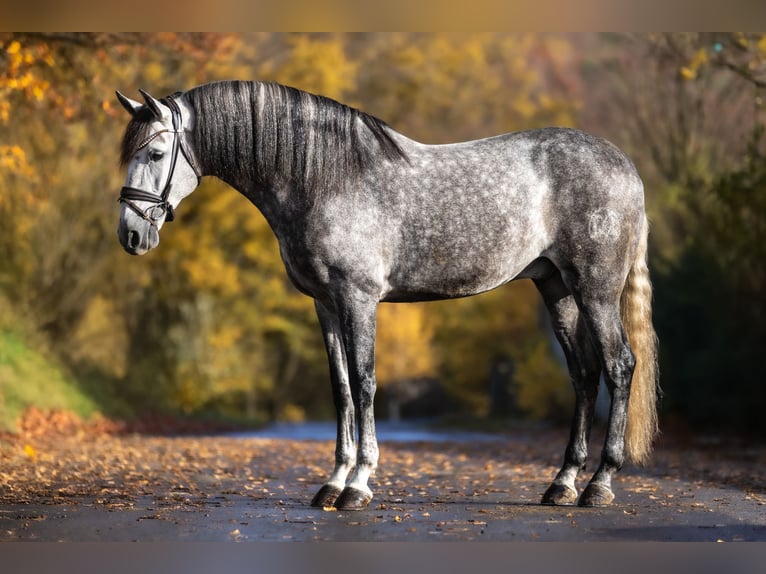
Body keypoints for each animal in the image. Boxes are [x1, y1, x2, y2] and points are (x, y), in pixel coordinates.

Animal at [115, 80, 659, 510]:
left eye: (156, 154)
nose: (131, 236)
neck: (323, 178)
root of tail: (625, 167)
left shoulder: (358, 297)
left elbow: (364, 383)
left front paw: (358, 485)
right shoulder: (325, 304)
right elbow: (340, 390)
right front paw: (332, 484)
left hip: (595, 289)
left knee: (618, 366)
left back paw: (599, 485)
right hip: (556, 287)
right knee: (583, 375)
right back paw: (562, 484)